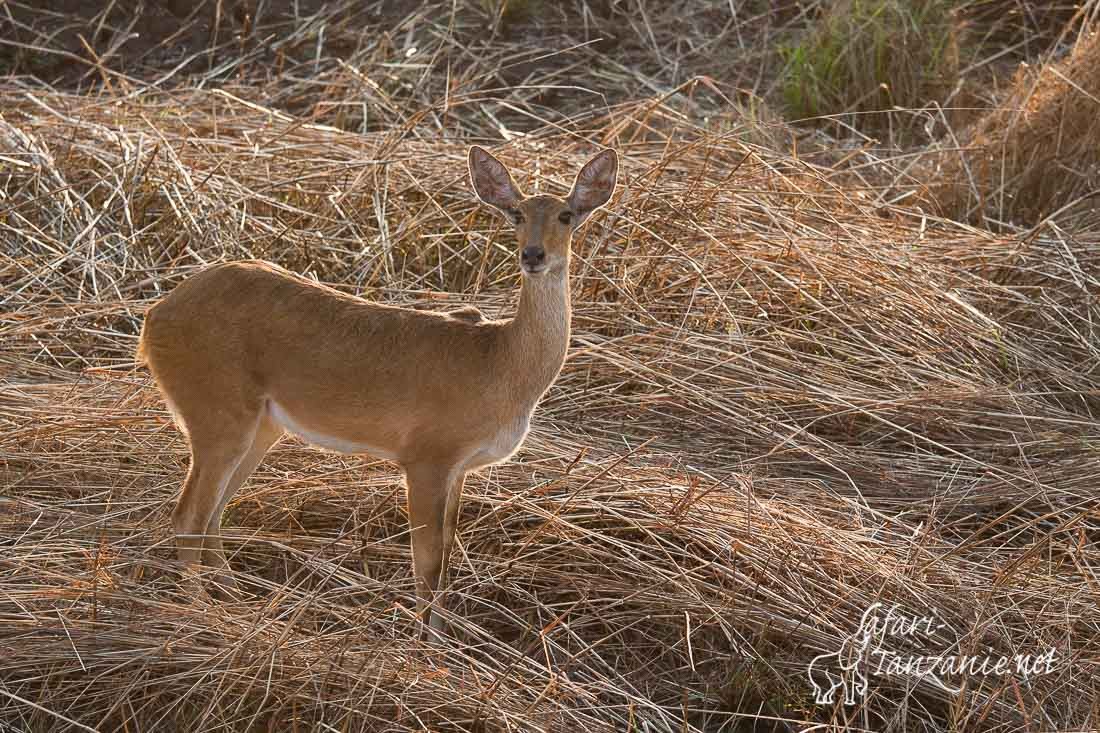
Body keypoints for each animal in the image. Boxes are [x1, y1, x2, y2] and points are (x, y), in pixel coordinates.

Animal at [137, 144, 620, 629]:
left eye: (566, 215)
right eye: (516, 213)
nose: (533, 255)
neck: (500, 365)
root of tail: (153, 317)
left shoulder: (460, 468)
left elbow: (446, 556)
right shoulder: (426, 456)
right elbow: (427, 562)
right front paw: (426, 642)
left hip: (262, 429)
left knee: (213, 517)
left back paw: (237, 602)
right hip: (218, 415)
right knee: (188, 516)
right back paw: (202, 613)